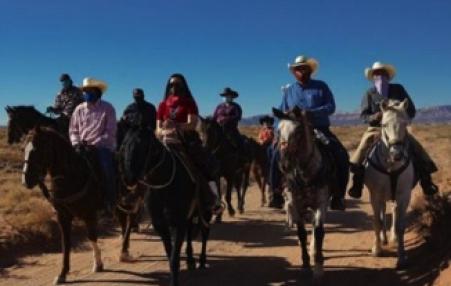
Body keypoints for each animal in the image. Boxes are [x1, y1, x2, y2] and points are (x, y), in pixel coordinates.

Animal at [22, 127, 106, 284]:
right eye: (23, 148)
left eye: (38, 150)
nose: (25, 181)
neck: (73, 177)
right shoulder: (63, 216)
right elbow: (65, 243)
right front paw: (62, 274)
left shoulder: (90, 213)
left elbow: (92, 236)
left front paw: (98, 263)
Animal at [119, 128, 213, 286]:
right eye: (124, 146)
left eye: (142, 146)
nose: (128, 179)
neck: (163, 186)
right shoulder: (161, 225)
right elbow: (170, 255)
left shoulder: (178, 223)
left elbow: (174, 258)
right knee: (190, 232)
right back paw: (190, 260)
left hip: (205, 212)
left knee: (205, 233)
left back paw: (201, 260)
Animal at [272, 106, 336, 280]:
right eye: (278, 130)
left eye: (299, 130)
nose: (284, 164)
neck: (305, 173)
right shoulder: (295, 203)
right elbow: (301, 233)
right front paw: (306, 263)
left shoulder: (321, 203)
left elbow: (319, 231)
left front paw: (318, 266)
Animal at [364, 98, 416, 268]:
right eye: (384, 124)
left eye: (405, 123)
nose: (397, 155)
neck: (390, 166)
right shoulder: (374, 195)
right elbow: (377, 222)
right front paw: (377, 249)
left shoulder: (404, 195)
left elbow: (400, 226)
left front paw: (402, 257)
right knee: (382, 213)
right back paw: (383, 239)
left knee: (392, 211)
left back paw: (391, 237)